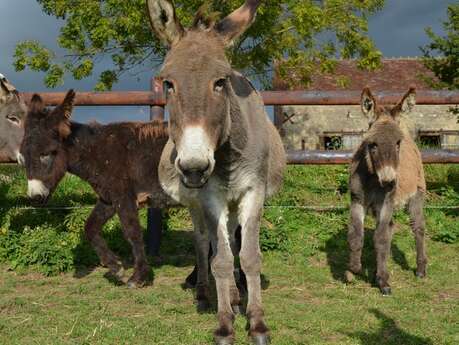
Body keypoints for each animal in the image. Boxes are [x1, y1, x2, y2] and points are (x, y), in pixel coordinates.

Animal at [20, 90, 170, 286]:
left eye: (45, 154)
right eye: (23, 155)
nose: (34, 198)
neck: (98, 154)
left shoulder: (124, 196)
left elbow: (133, 232)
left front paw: (139, 277)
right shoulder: (108, 198)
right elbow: (90, 227)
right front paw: (116, 267)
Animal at [348, 87, 428, 294]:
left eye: (398, 143)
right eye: (372, 144)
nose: (390, 181)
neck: (372, 179)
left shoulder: (385, 203)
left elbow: (381, 239)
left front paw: (383, 281)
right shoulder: (357, 201)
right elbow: (356, 236)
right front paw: (353, 270)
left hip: (416, 194)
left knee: (417, 227)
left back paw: (421, 269)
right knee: (390, 228)